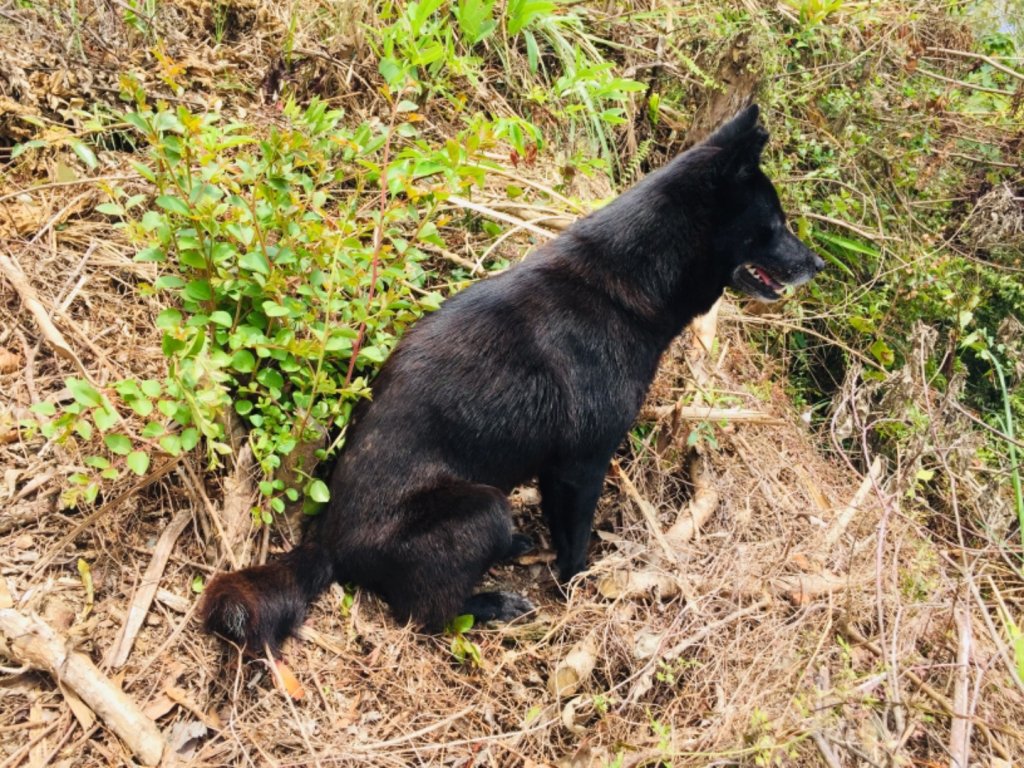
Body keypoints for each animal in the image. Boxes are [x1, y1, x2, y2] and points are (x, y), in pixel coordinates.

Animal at [197, 100, 823, 655]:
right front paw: (578, 589)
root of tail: (329, 543)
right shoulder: (581, 464)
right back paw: (493, 603)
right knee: (427, 612)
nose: (817, 264)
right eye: (774, 226)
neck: (626, 283)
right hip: (483, 507)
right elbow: (575, 544)